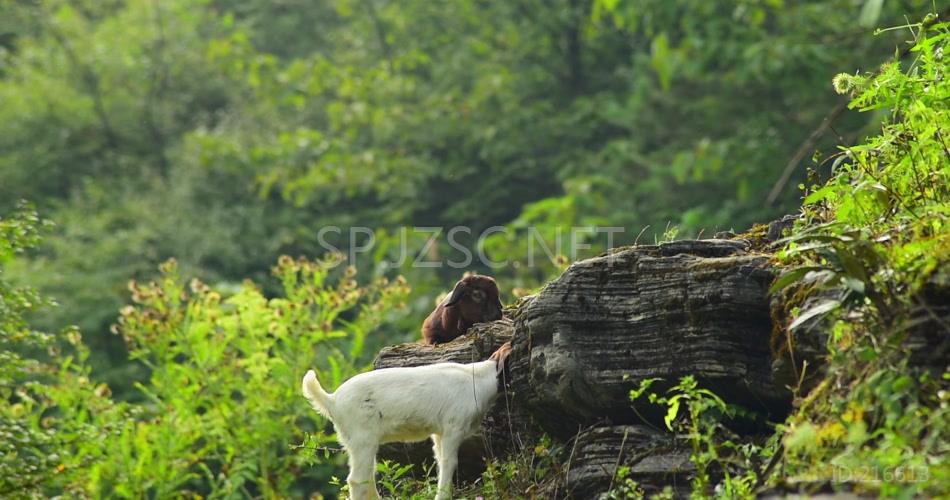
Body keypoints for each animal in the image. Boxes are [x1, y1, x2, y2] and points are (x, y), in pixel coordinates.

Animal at [304, 342, 512, 498]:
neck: (480, 380)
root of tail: (332, 400)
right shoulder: (453, 427)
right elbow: (449, 462)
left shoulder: (439, 432)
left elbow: (439, 459)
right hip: (362, 438)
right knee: (357, 480)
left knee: (367, 476)